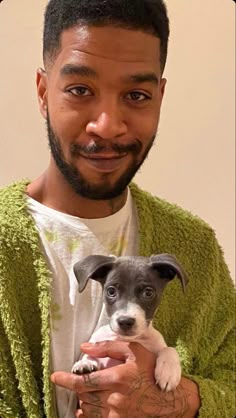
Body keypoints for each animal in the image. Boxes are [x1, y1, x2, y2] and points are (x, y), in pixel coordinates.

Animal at [73, 253, 187, 394]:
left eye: (148, 292)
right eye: (111, 291)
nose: (125, 321)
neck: (126, 339)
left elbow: (169, 349)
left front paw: (169, 372)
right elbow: (89, 355)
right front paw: (84, 363)